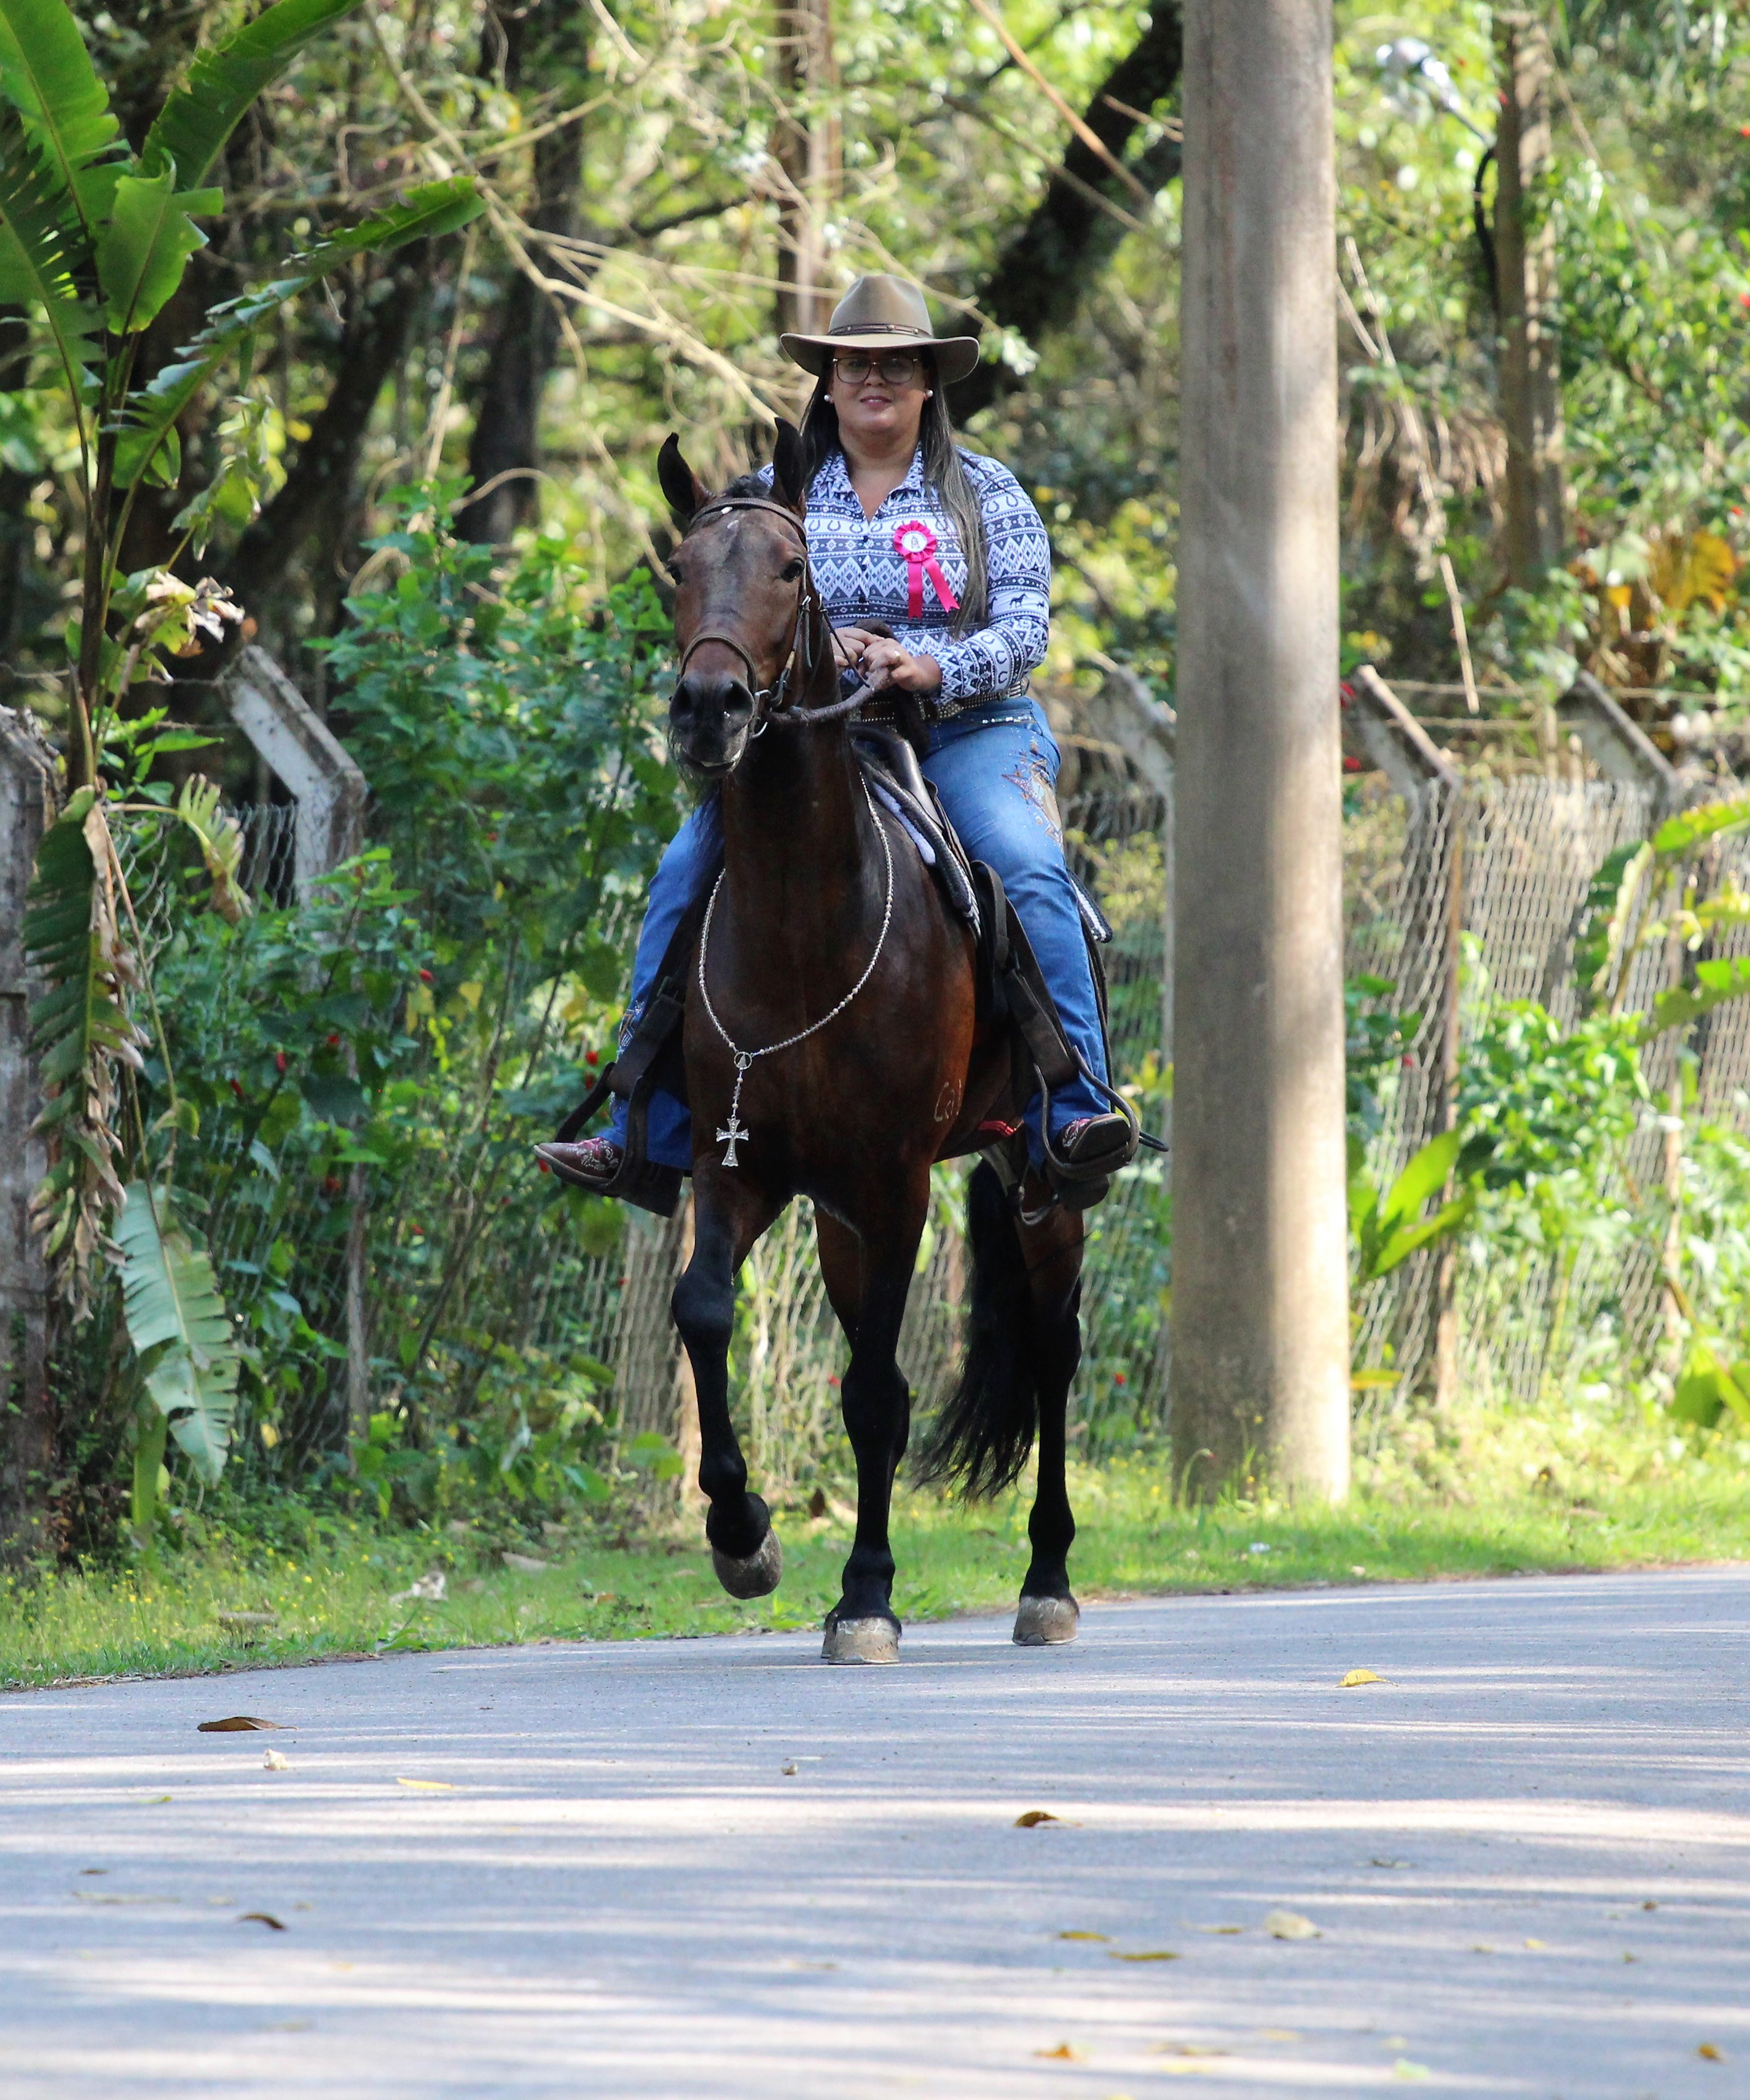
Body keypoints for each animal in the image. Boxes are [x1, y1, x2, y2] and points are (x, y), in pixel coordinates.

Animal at [655, 420, 1087, 1664]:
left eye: (789, 568)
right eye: (679, 570)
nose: (709, 706)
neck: (806, 920)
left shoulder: (895, 1181)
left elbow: (878, 1394)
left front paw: (865, 1596)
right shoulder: (742, 1164)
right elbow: (705, 1309)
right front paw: (743, 1536)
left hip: (1041, 1178)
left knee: (1052, 1351)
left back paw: (1047, 1579)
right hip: (846, 1214)